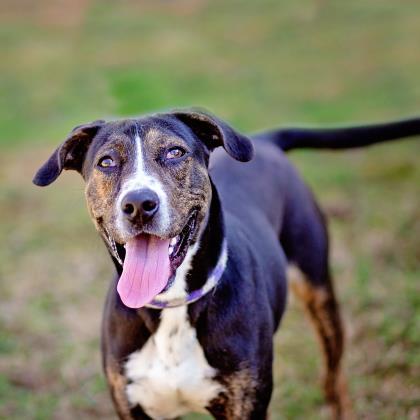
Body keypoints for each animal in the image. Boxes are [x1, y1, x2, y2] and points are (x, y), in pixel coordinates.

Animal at [33, 110, 420, 418]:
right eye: (107, 162)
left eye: (175, 152)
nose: (139, 204)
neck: (174, 307)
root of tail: (265, 142)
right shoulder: (131, 403)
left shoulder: (245, 402)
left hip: (319, 290)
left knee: (333, 378)